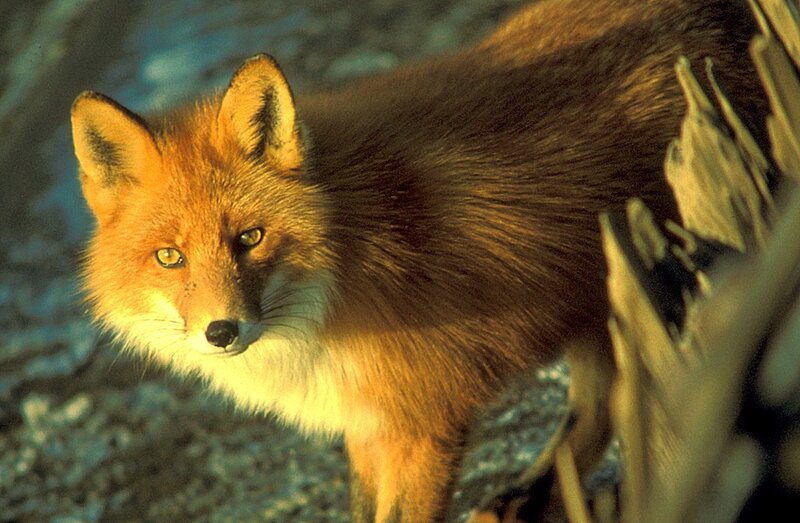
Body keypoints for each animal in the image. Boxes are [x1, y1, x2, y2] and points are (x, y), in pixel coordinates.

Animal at [70, 0, 767, 521]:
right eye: (169, 257)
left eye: (250, 237)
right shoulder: (367, 421)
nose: (221, 331)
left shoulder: (425, 419)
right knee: (602, 403)